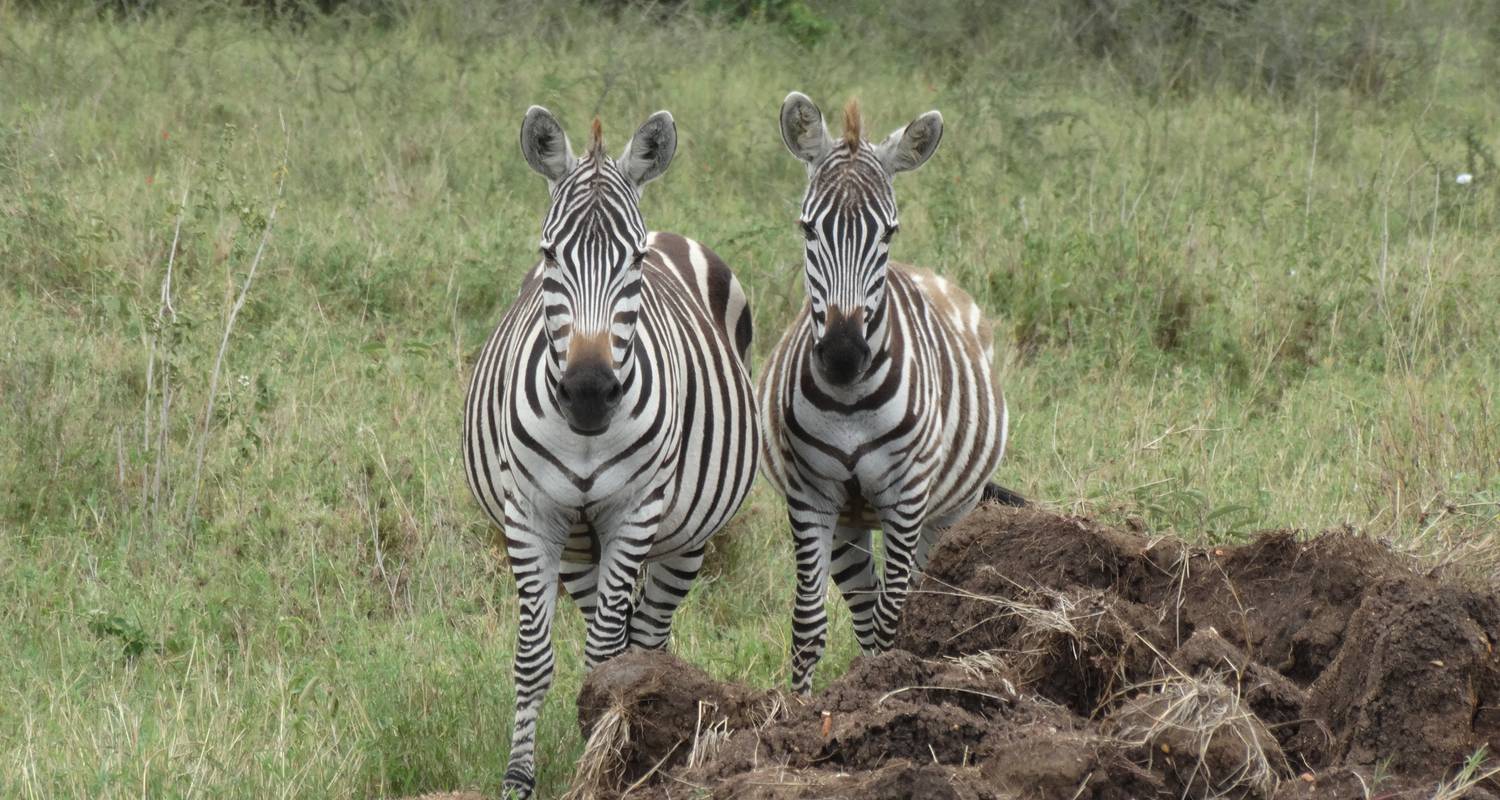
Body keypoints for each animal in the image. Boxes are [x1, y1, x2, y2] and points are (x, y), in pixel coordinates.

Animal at [459, 107, 762, 798]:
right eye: (548, 255)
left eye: (634, 261)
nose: (589, 392)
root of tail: (677, 232)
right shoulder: (531, 514)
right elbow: (533, 656)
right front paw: (520, 776)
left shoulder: (634, 511)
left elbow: (607, 659)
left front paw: (598, 765)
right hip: (577, 542)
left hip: (685, 536)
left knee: (644, 634)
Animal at [762, 93, 1020, 693]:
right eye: (807, 229)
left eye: (888, 233)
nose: (841, 356)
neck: (849, 404)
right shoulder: (810, 496)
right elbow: (808, 624)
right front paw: (802, 709)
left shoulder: (906, 497)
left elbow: (893, 617)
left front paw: (886, 690)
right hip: (849, 520)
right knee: (860, 602)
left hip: (948, 510)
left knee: (915, 593)